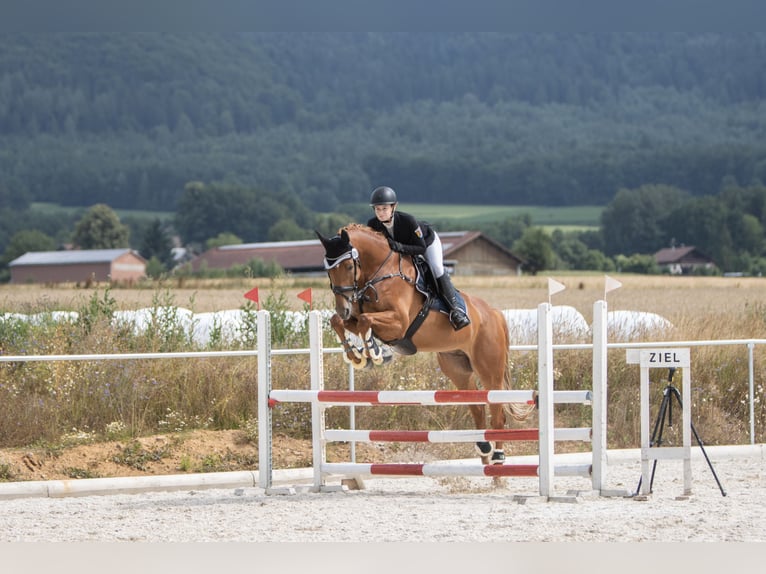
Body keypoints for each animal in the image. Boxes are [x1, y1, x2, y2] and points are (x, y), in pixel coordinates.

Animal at [316, 225, 536, 468]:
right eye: (328, 270)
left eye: (348, 266)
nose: (343, 307)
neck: (379, 273)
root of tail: (494, 313)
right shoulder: (358, 319)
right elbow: (340, 321)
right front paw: (358, 357)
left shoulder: (399, 323)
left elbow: (365, 320)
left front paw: (375, 353)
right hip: (457, 368)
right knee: (478, 406)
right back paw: (484, 449)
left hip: (489, 369)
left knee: (497, 410)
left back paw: (498, 455)